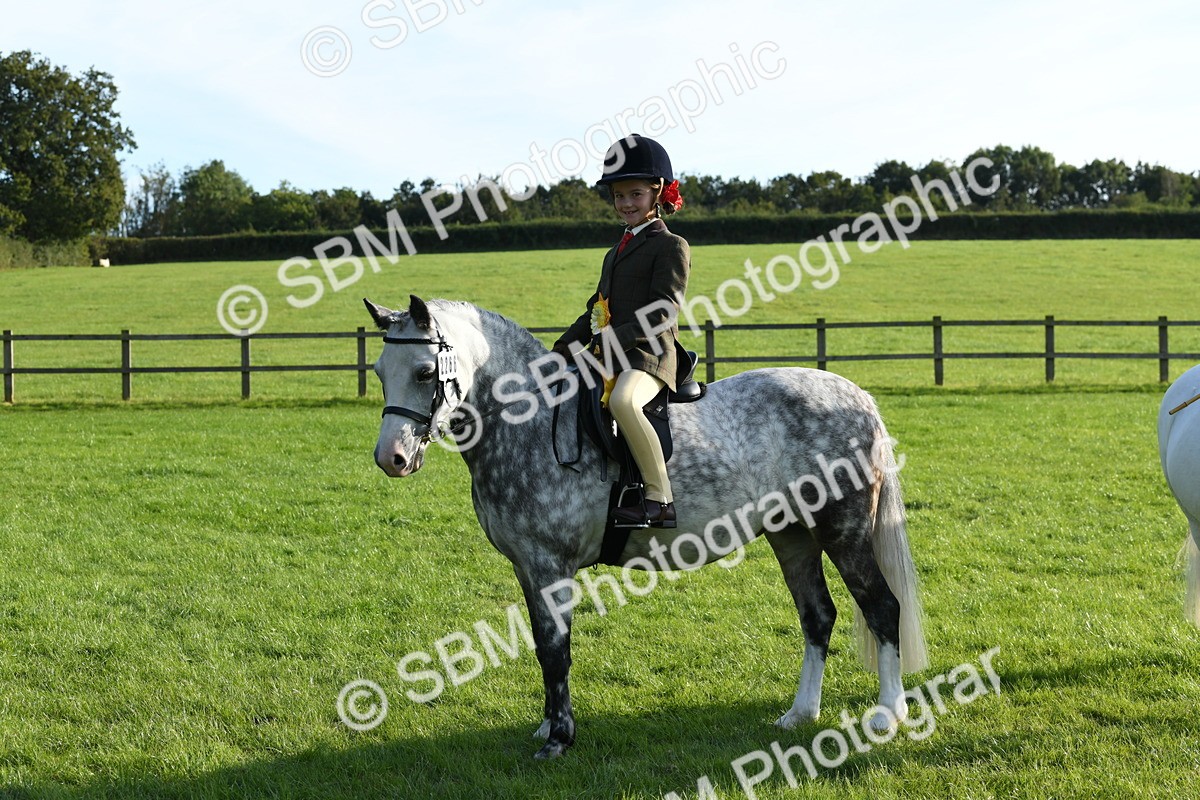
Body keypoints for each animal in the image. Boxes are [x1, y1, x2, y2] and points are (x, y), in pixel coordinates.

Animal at [364, 294, 928, 759]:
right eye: (378, 370)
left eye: (424, 371)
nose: (391, 459)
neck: (531, 422)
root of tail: (858, 396)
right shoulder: (527, 568)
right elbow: (544, 648)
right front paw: (548, 727)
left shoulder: (549, 565)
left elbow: (555, 649)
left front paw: (559, 738)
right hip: (791, 535)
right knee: (818, 617)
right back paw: (800, 714)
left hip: (842, 532)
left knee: (882, 608)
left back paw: (888, 715)